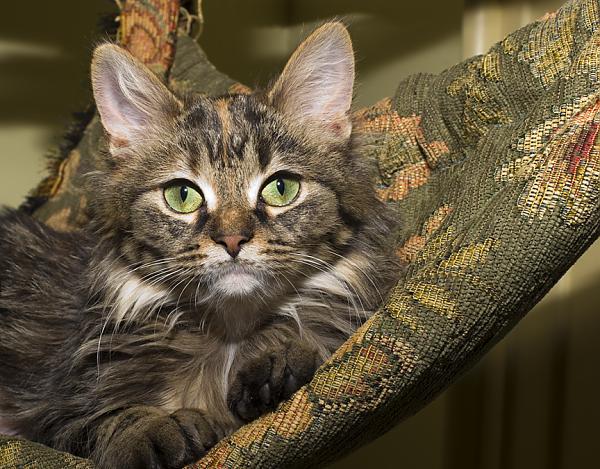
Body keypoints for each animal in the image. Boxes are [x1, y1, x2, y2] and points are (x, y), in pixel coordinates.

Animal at [1, 22, 404, 468]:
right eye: (182, 195)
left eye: (281, 188)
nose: (232, 239)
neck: (229, 333)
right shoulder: (59, 410)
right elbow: (112, 417)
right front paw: (153, 430)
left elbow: (314, 341)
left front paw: (278, 359)